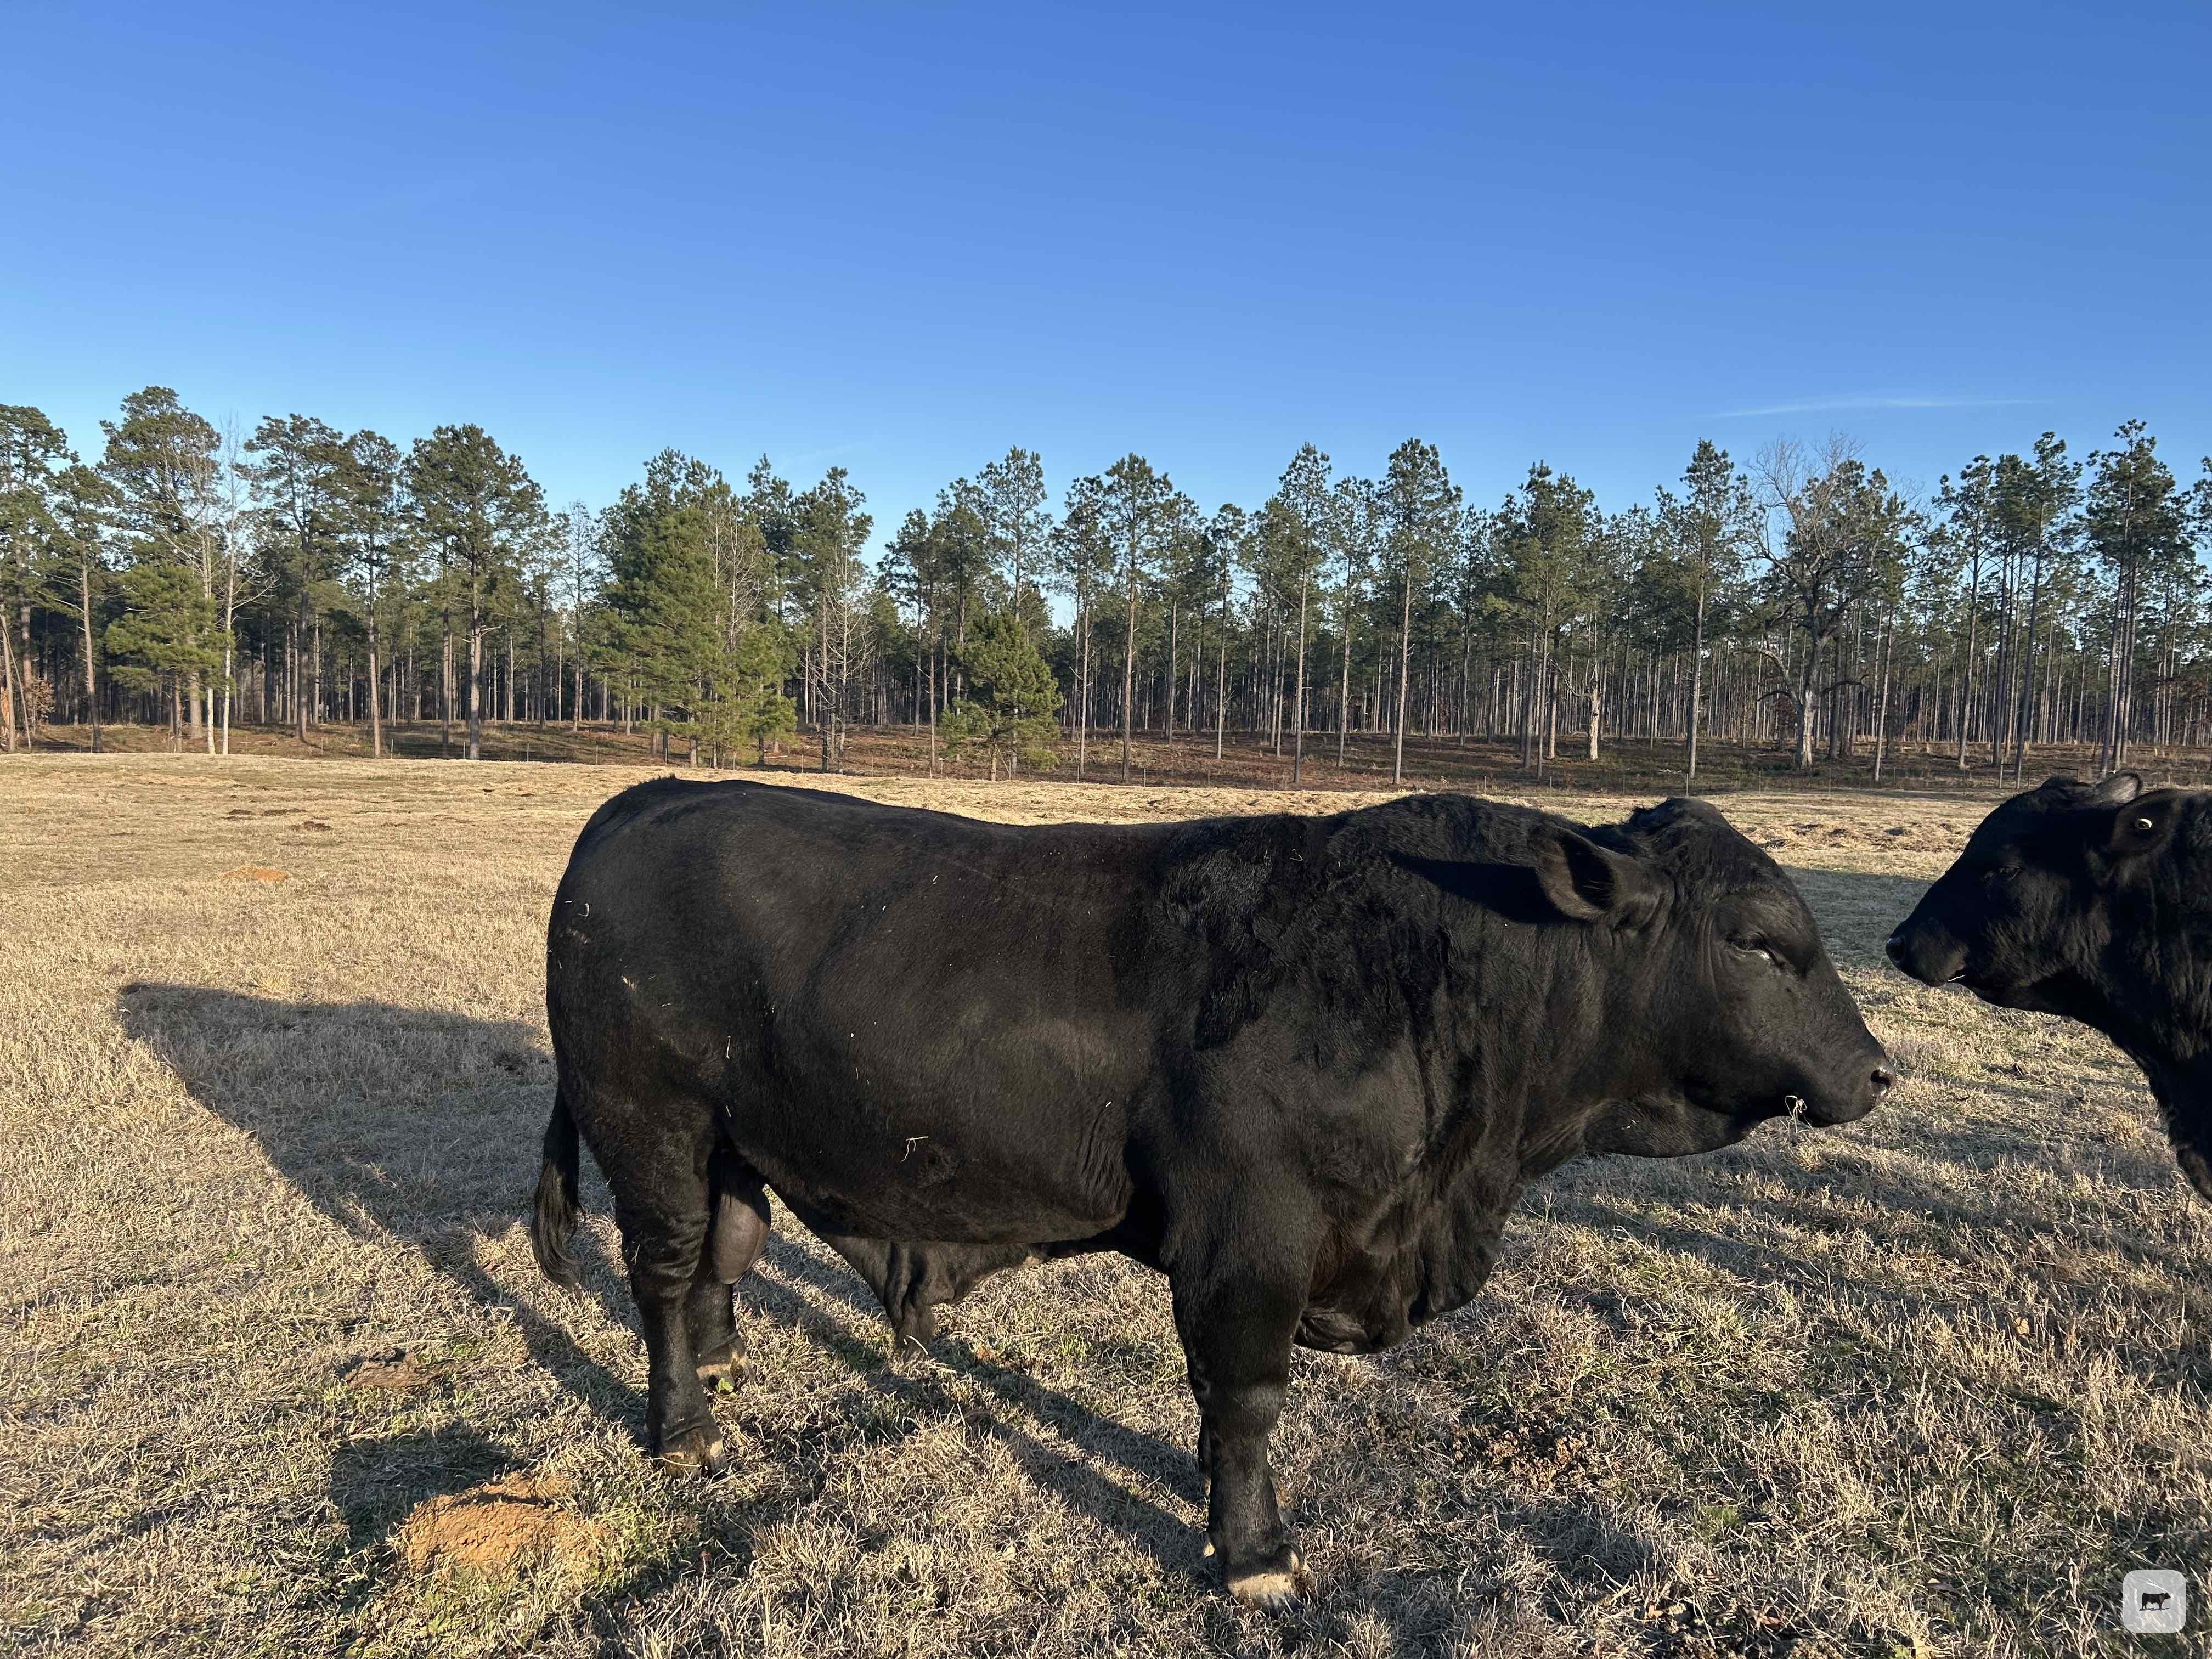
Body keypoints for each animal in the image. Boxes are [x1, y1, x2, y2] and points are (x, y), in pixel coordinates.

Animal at [530, 779, 1893, 1605]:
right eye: (1762, 943)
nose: (1881, 1069)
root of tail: (649, 799)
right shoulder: (1249, 1240)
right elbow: (1243, 1403)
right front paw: (1255, 1557)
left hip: (731, 1150)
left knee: (723, 1261)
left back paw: (727, 1377)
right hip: (650, 1130)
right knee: (663, 1275)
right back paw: (684, 1431)